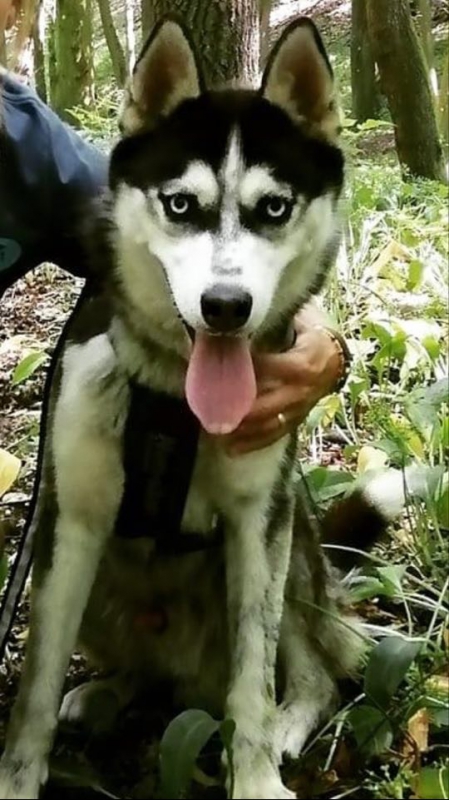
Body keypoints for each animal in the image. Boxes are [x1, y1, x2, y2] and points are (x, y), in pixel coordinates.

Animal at [0, 16, 412, 800]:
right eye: (180, 204)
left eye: (273, 208)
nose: (225, 306)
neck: (174, 404)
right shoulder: (73, 522)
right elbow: (34, 685)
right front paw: (17, 777)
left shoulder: (256, 521)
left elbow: (252, 680)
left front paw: (254, 777)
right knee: (136, 667)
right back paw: (109, 690)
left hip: (293, 540)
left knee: (317, 668)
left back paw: (287, 724)